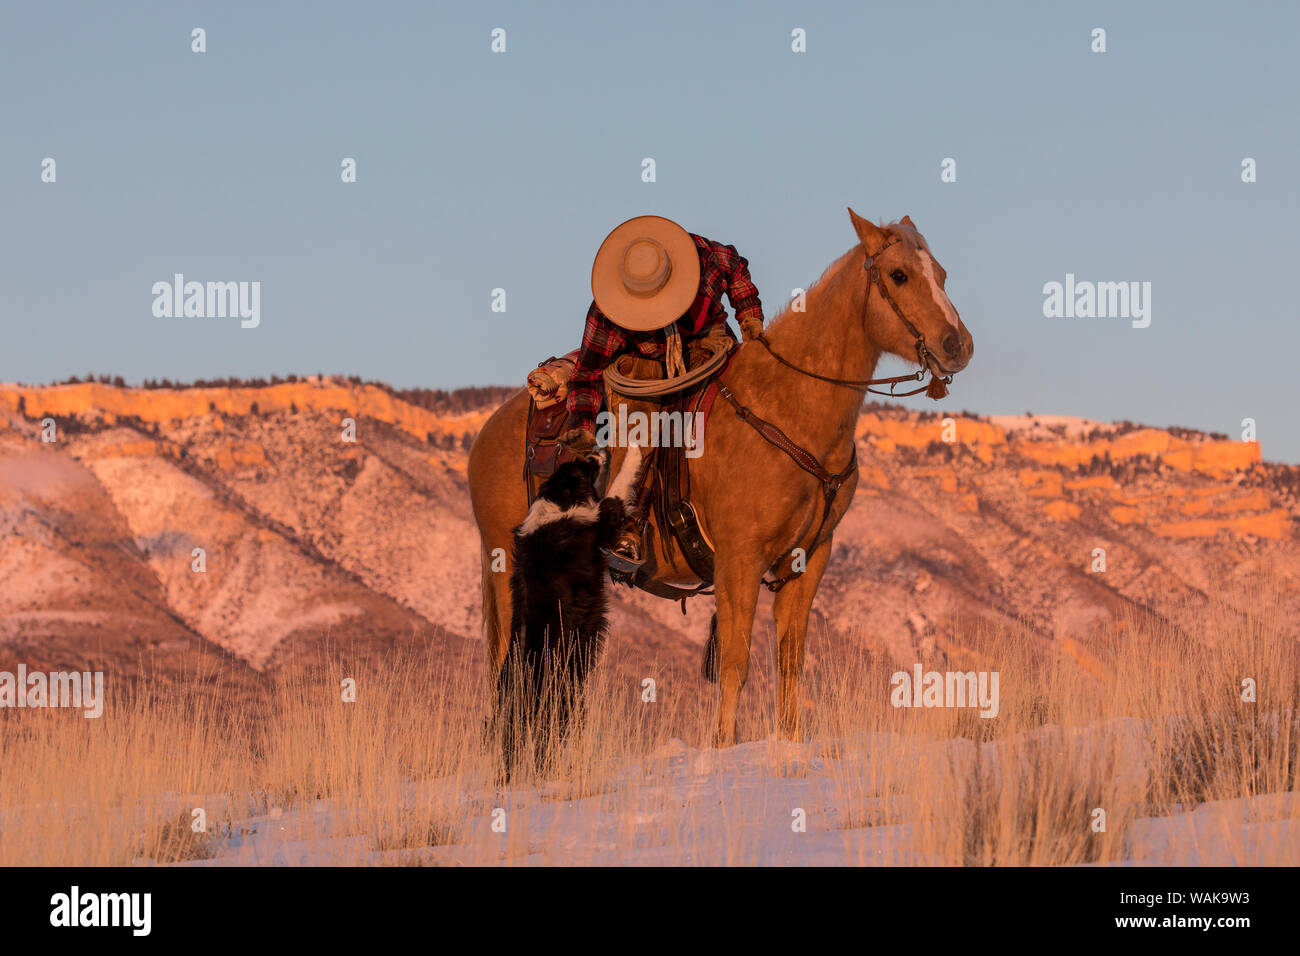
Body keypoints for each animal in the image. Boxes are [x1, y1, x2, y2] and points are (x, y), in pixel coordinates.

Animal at [468, 208, 974, 763]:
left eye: (942, 274)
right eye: (899, 275)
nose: (958, 346)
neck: (787, 406)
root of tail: (490, 429)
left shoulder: (808, 560)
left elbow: (790, 662)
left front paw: (789, 744)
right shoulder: (739, 559)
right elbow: (734, 662)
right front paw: (722, 747)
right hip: (507, 568)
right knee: (503, 663)